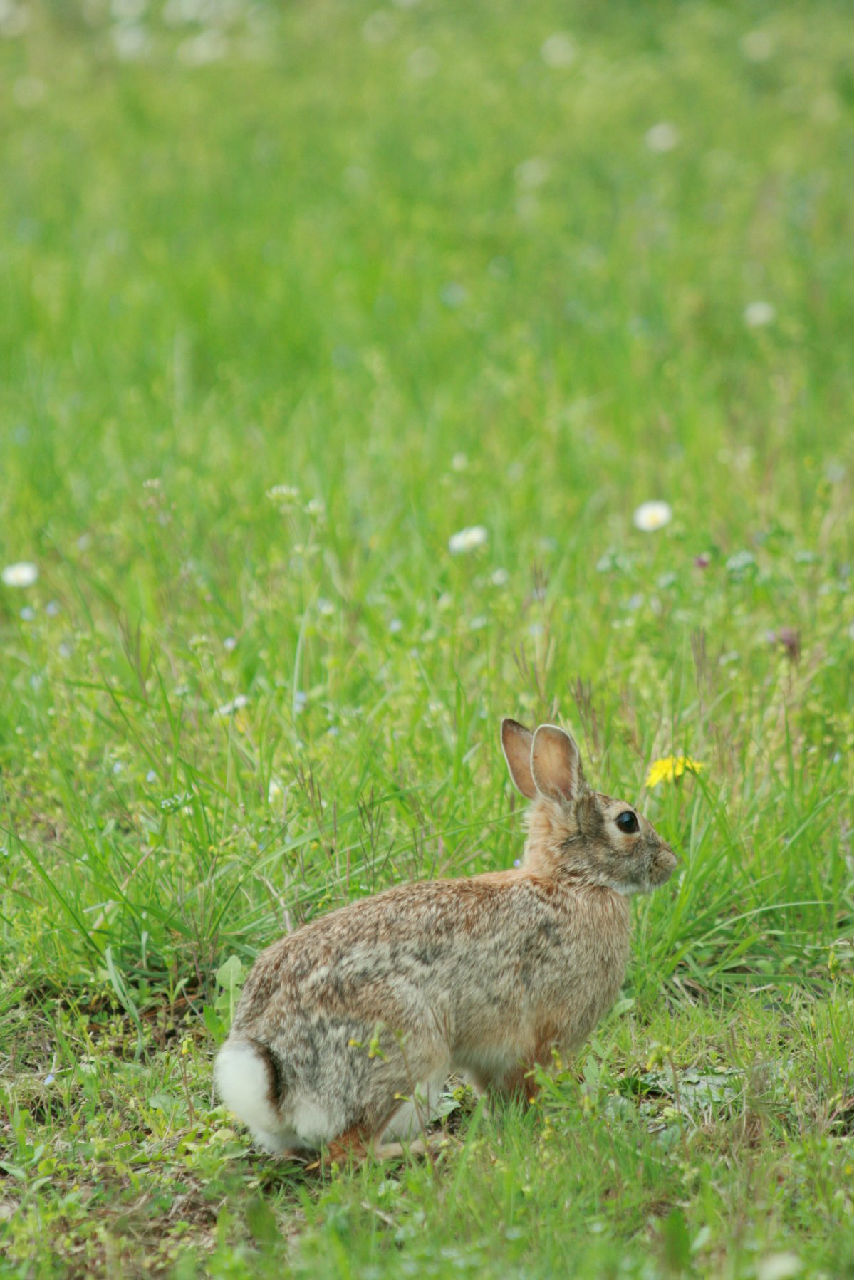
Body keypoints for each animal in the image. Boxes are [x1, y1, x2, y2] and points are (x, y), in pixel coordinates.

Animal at [215, 721, 681, 1162]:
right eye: (627, 821)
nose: (671, 862)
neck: (573, 882)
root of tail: (276, 1080)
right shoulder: (539, 1037)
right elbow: (525, 1088)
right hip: (409, 1050)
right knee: (348, 1151)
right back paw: (431, 1147)